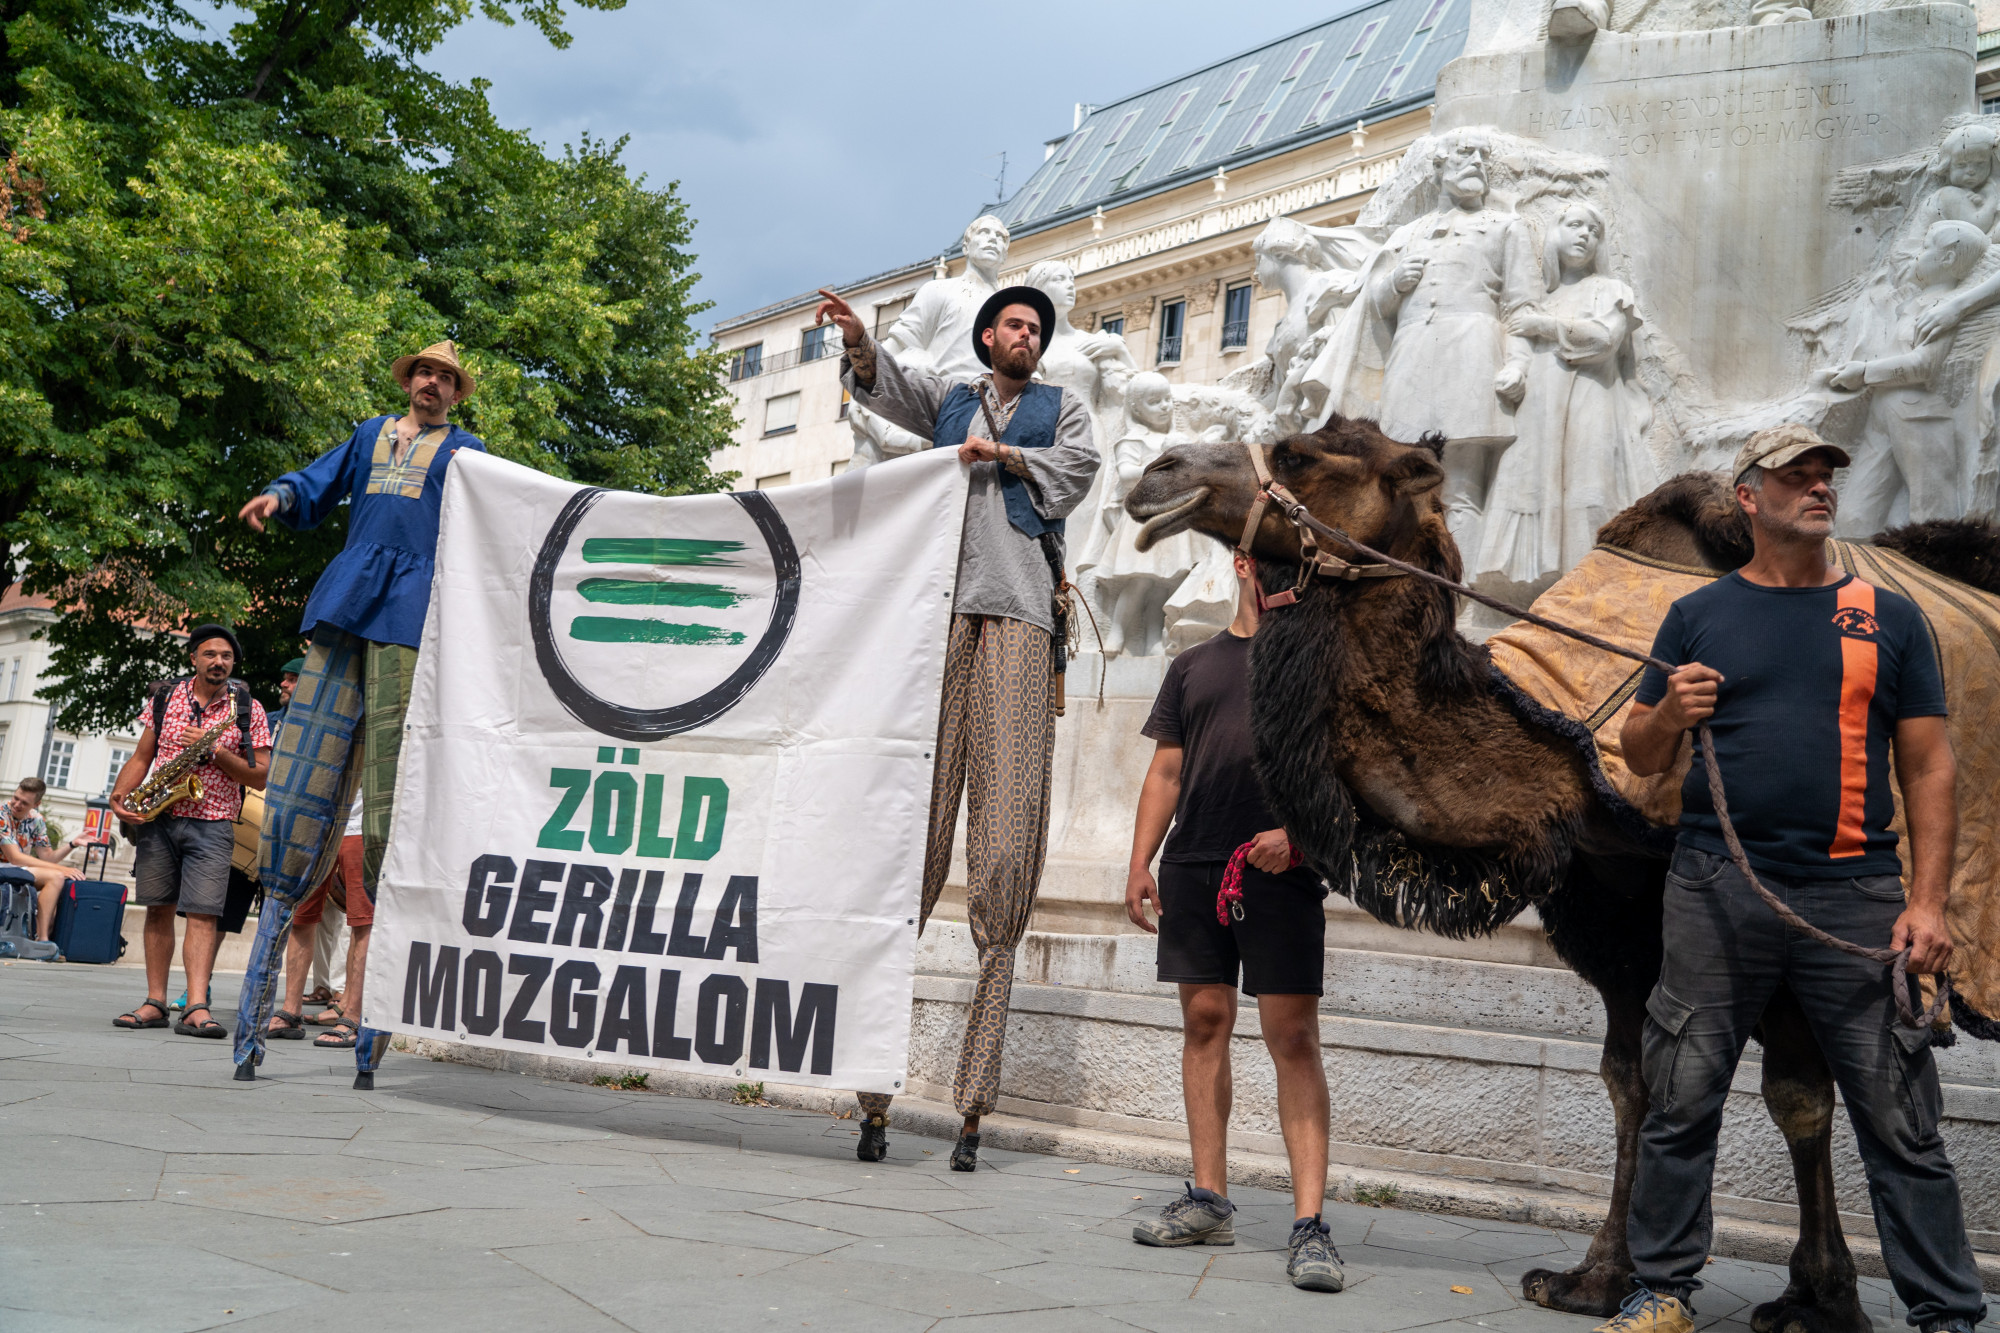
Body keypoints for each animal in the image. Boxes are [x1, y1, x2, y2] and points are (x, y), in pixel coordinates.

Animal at [1128, 420, 2000, 1328]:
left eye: (1300, 453)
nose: (1157, 472)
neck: (1571, 765)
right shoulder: (1616, 914)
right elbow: (1636, 1081)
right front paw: (1599, 1279)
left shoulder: (1773, 923)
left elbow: (1798, 1092)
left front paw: (1819, 1298)